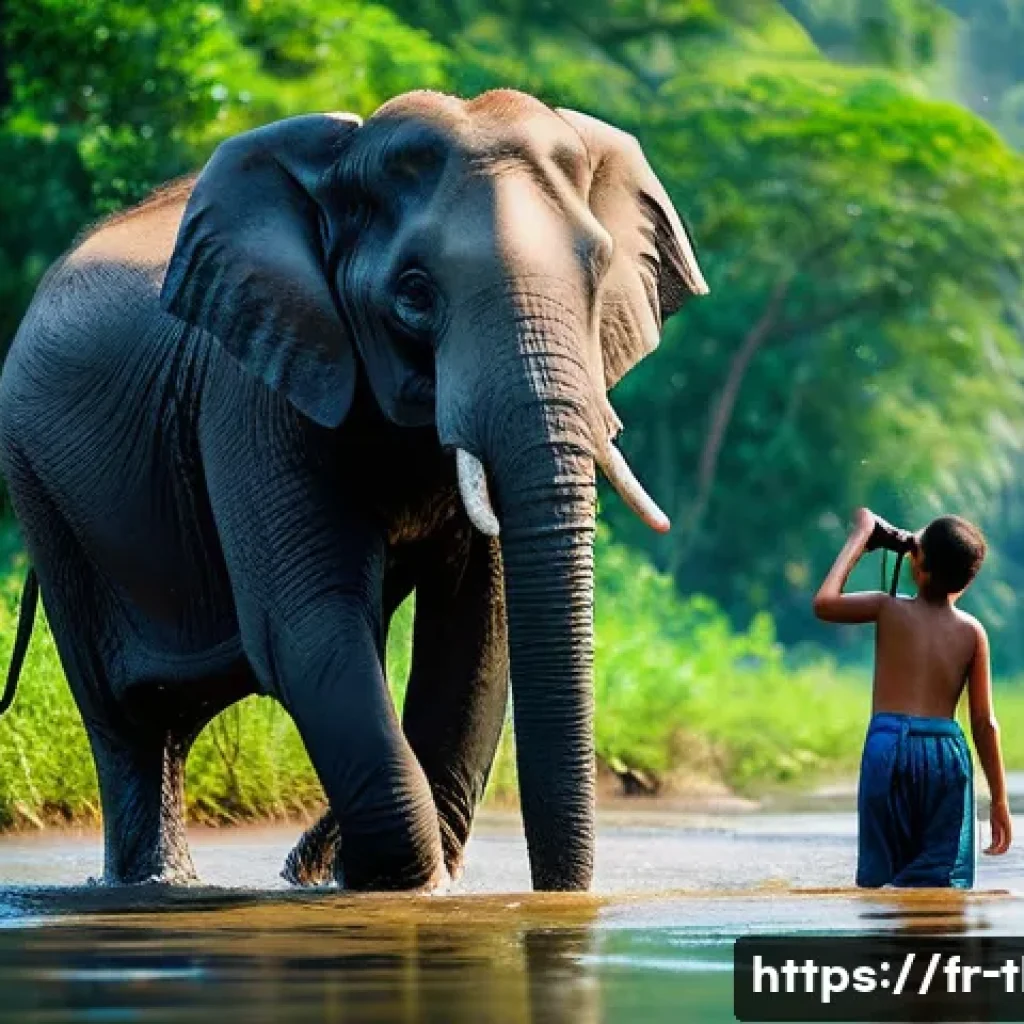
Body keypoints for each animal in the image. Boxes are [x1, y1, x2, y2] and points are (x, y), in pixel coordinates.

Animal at [0, 88, 707, 892]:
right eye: (414, 293)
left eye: (600, 268)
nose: (560, 896)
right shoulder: (253, 389)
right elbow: (310, 627)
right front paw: (392, 882)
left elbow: (474, 634)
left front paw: (353, 875)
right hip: (40, 487)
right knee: (125, 720)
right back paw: (157, 884)